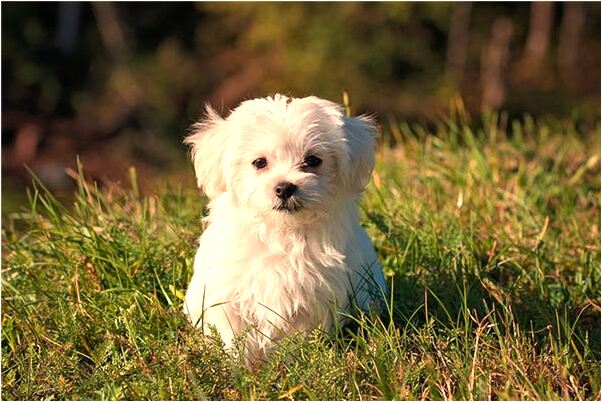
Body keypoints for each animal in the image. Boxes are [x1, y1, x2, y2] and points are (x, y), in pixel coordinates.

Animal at [182, 94, 384, 362]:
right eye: (259, 162)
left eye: (313, 160)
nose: (285, 187)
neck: (281, 232)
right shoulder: (225, 293)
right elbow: (232, 336)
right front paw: (238, 367)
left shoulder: (313, 298)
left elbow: (298, 336)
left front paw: (292, 362)